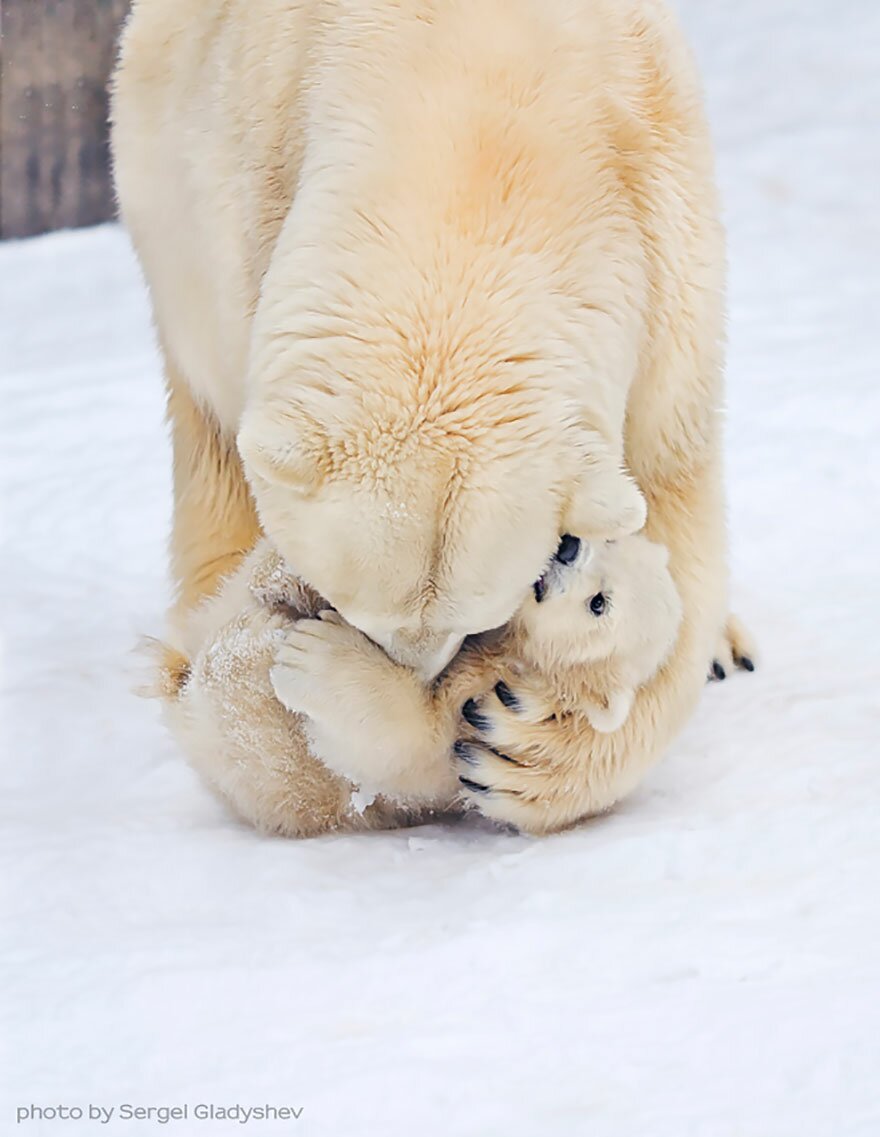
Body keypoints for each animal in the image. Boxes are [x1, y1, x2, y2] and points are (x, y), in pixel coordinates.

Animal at [113, 0, 741, 836]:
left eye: (475, 618)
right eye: (355, 601)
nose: (413, 669)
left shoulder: (662, 243)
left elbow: (670, 504)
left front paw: (521, 744)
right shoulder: (250, 193)